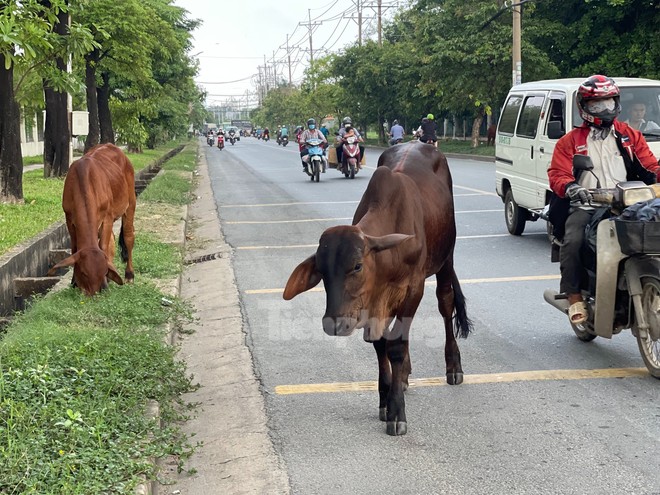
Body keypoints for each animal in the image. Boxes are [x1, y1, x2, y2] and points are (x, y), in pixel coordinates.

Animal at [49, 141, 138, 296]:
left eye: (103, 271)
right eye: (84, 273)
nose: (94, 293)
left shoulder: (107, 217)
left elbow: (103, 247)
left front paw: (107, 281)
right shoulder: (69, 220)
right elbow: (75, 248)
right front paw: (73, 282)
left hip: (130, 204)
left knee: (128, 237)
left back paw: (129, 275)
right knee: (113, 239)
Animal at [286, 141, 472, 436]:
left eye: (357, 266)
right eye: (322, 271)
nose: (333, 323)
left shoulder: (413, 290)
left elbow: (395, 345)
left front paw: (397, 412)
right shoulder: (373, 304)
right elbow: (382, 344)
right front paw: (386, 399)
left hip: (446, 259)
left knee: (445, 304)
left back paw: (453, 366)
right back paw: (404, 375)